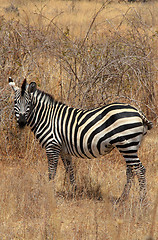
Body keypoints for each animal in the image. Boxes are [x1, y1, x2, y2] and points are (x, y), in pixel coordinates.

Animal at [8, 78, 153, 203]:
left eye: (28, 103)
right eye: (15, 102)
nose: (21, 122)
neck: (46, 117)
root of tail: (138, 111)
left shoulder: (52, 146)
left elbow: (52, 171)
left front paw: (50, 191)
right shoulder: (64, 150)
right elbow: (70, 170)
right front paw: (74, 191)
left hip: (127, 145)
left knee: (140, 169)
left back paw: (142, 200)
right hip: (131, 146)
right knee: (131, 170)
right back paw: (123, 198)